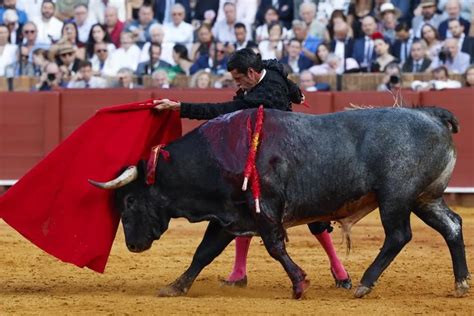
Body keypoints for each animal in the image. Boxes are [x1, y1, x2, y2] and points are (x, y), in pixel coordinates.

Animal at [90, 106, 470, 298]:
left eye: (129, 201)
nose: (133, 245)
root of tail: (433, 115)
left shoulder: (264, 209)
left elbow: (274, 247)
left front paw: (300, 284)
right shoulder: (230, 214)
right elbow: (204, 252)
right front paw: (175, 286)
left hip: (396, 196)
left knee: (398, 236)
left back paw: (363, 283)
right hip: (425, 197)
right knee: (452, 226)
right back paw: (461, 284)